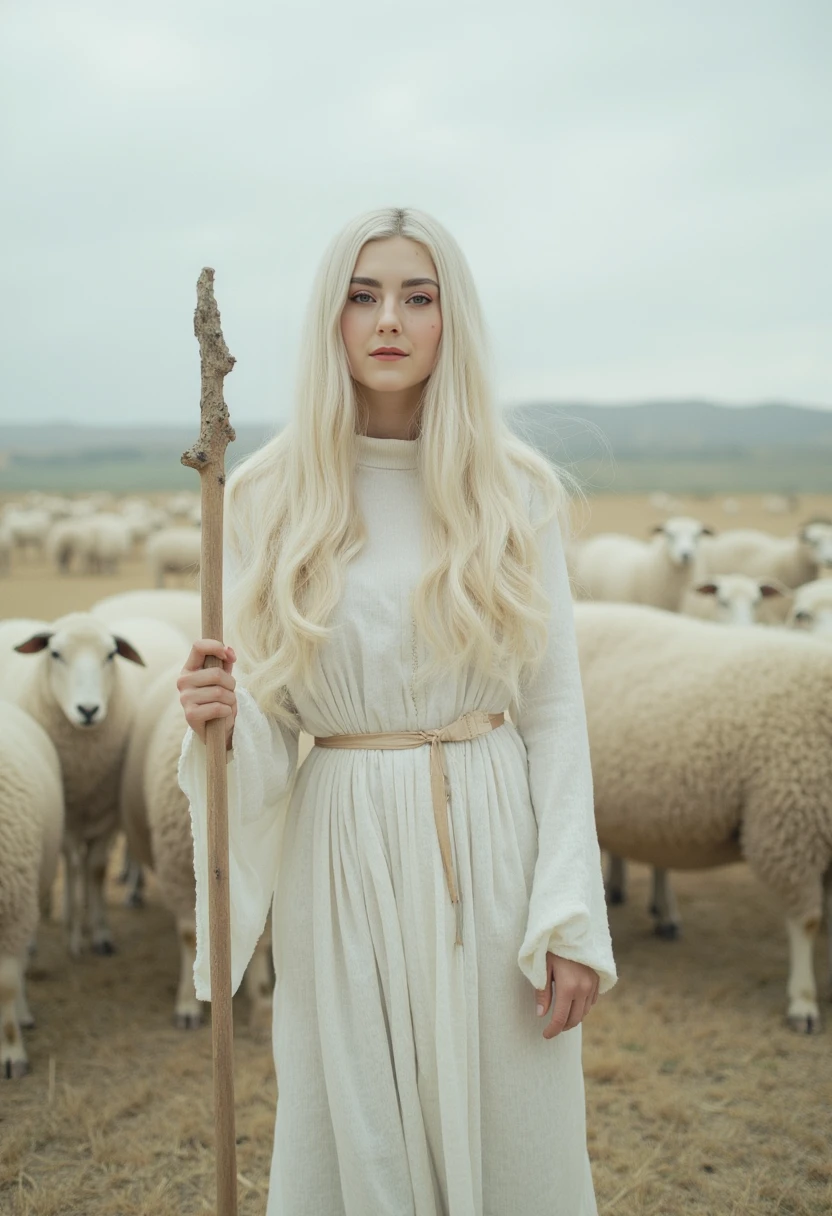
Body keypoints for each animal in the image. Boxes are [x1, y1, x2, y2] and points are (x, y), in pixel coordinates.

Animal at [2, 612, 187, 953]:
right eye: (55, 653)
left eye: (111, 655)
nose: (88, 710)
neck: (84, 765)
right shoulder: (65, 815)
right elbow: (73, 864)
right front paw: (71, 932)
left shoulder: (108, 813)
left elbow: (97, 868)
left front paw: (99, 931)